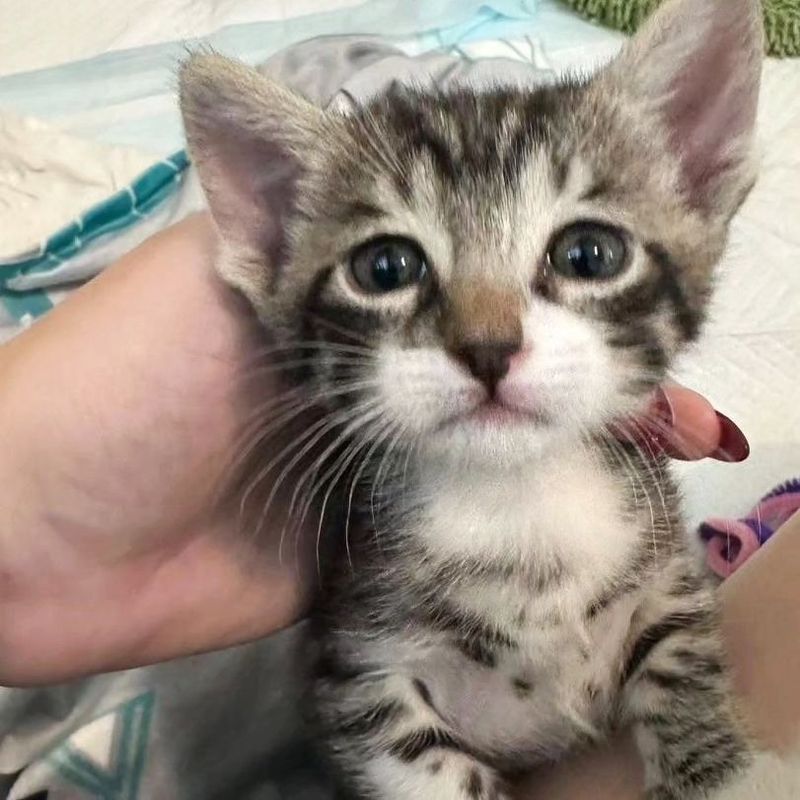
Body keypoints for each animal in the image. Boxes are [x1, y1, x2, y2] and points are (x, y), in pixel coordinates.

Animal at [180, 0, 764, 796]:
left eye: (590, 255)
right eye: (385, 267)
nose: (489, 347)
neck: (516, 506)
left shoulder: (668, 577)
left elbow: (683, 666)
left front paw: (723, 771)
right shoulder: (354, 673)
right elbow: (429, 768)